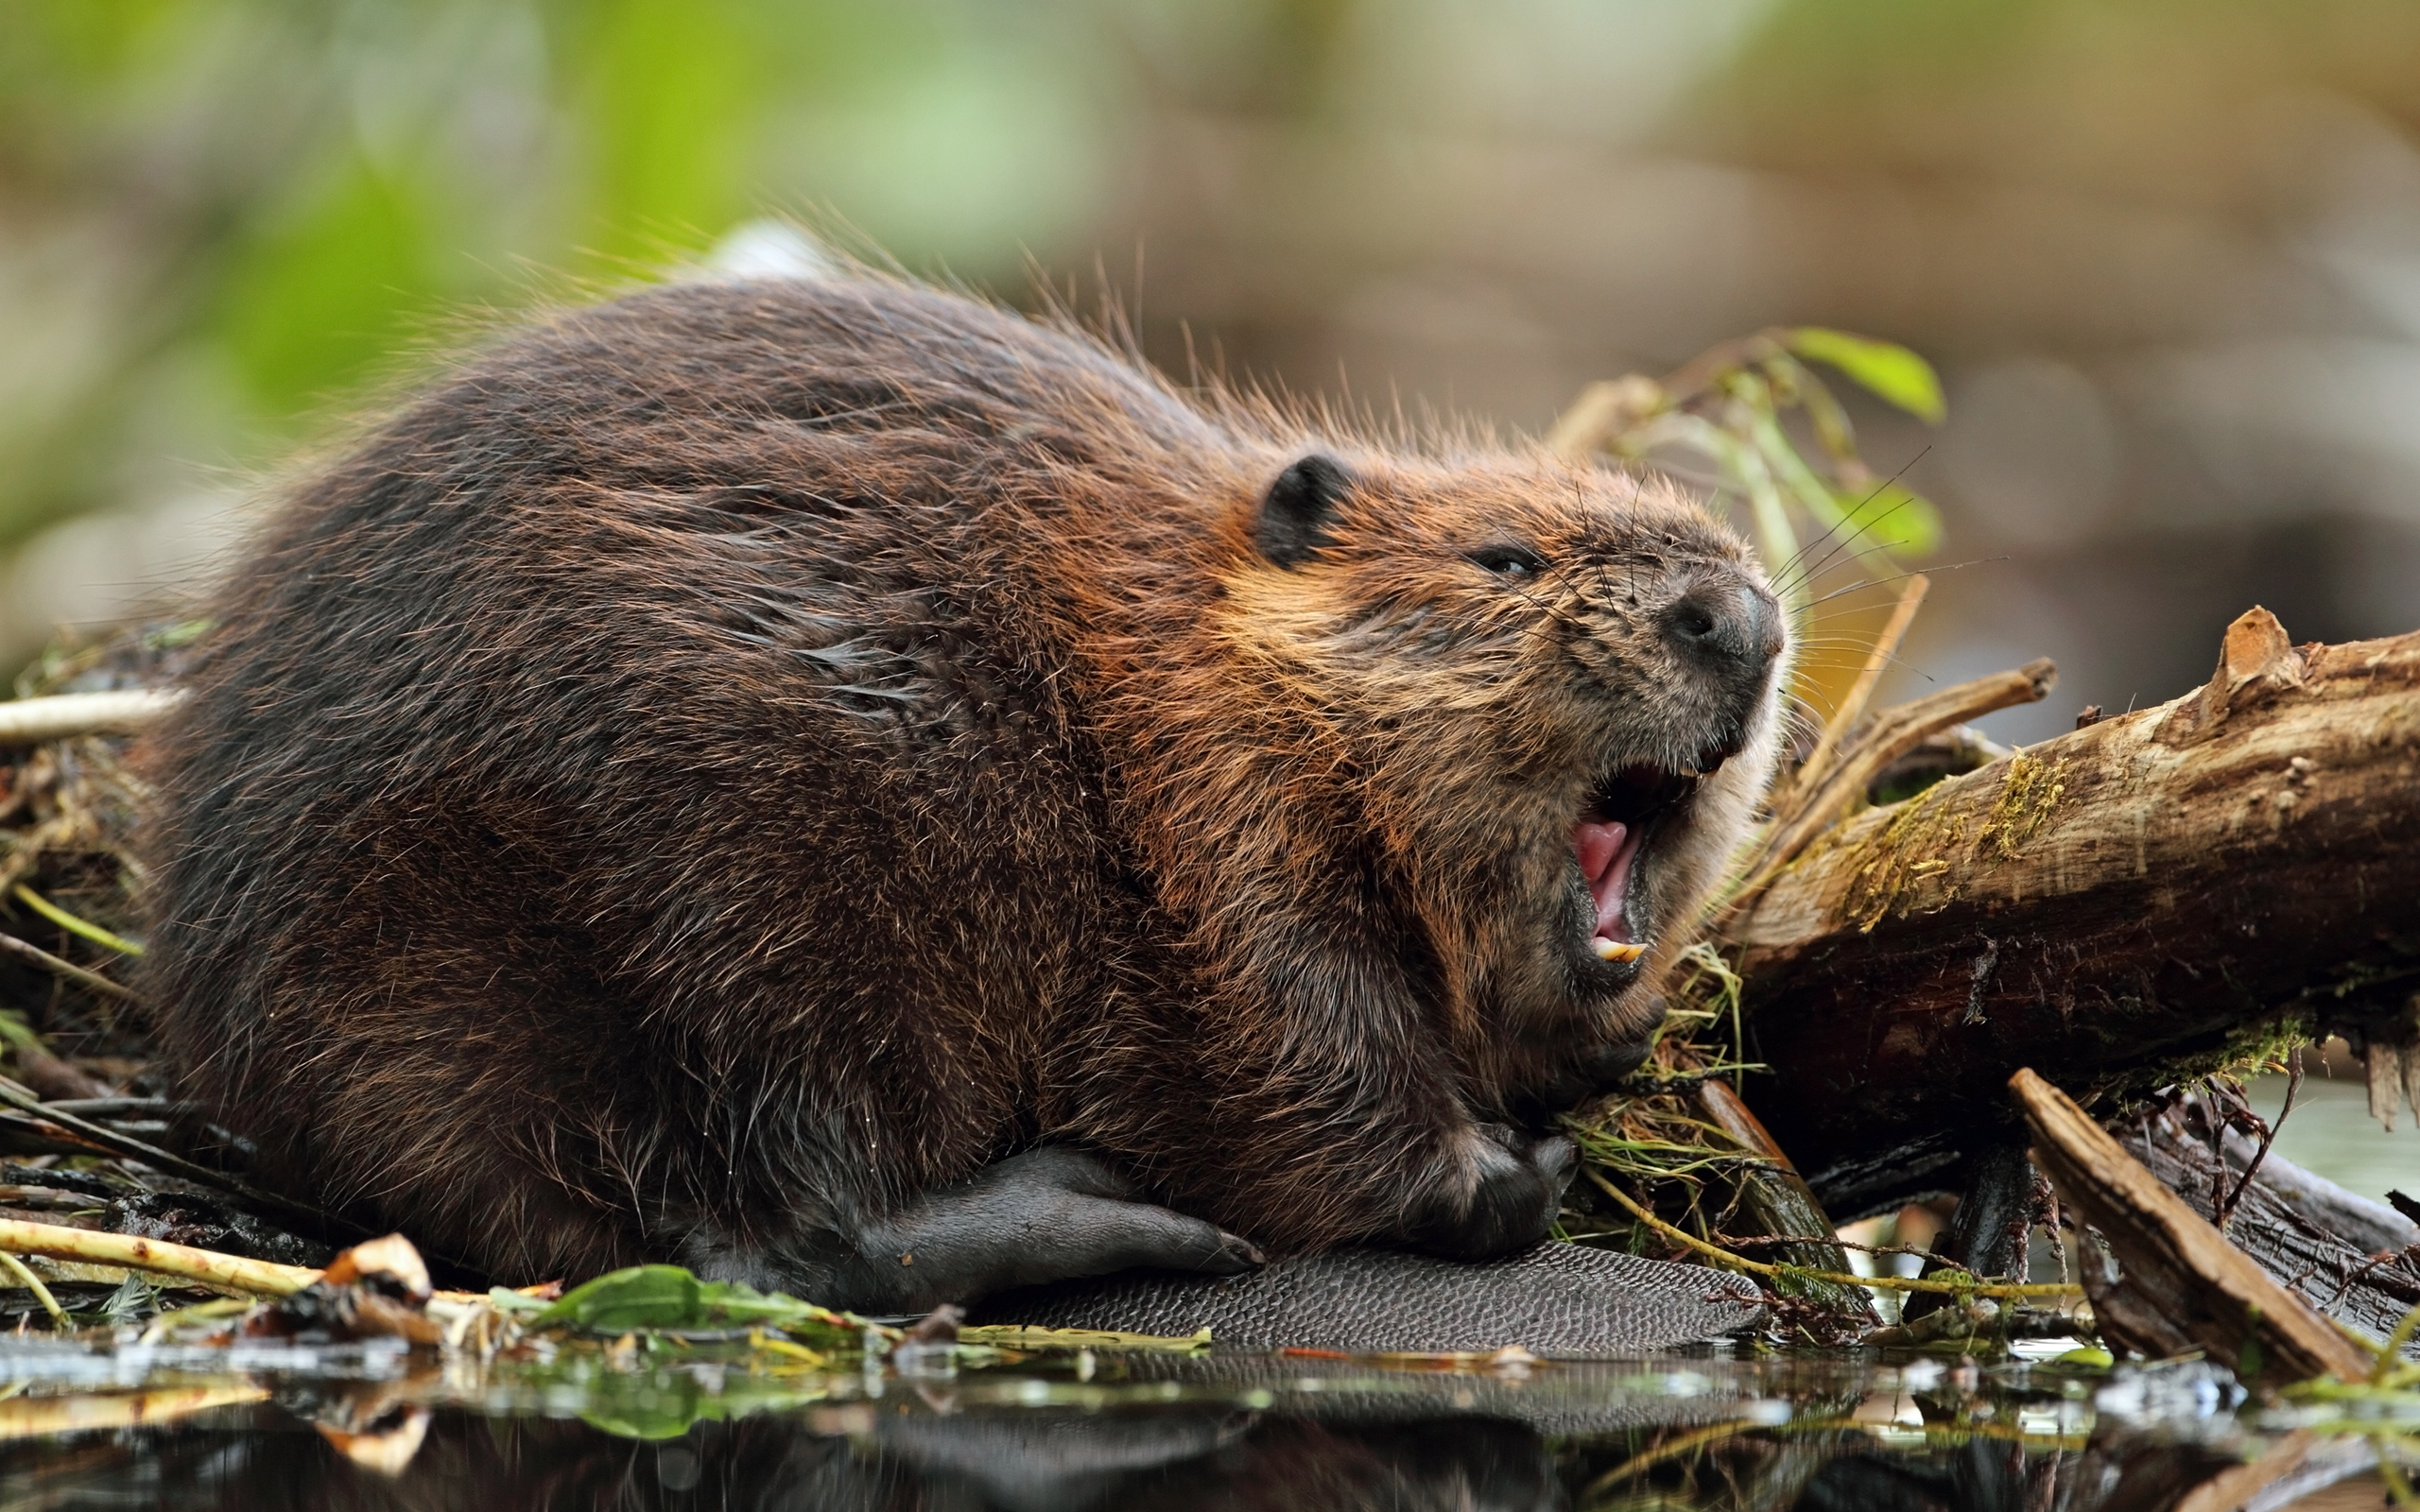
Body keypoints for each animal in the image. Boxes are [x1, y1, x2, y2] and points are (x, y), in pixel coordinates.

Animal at [141, 268, 1790, 1306]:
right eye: (1504, 559)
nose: (1743, 617)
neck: (1182, 647)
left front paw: (1599, 1053)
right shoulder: (1221, 831)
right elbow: (1300, 1060)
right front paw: (1504, 1170)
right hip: (733, 897)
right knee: (776, 1232)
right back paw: (1109, 1211)